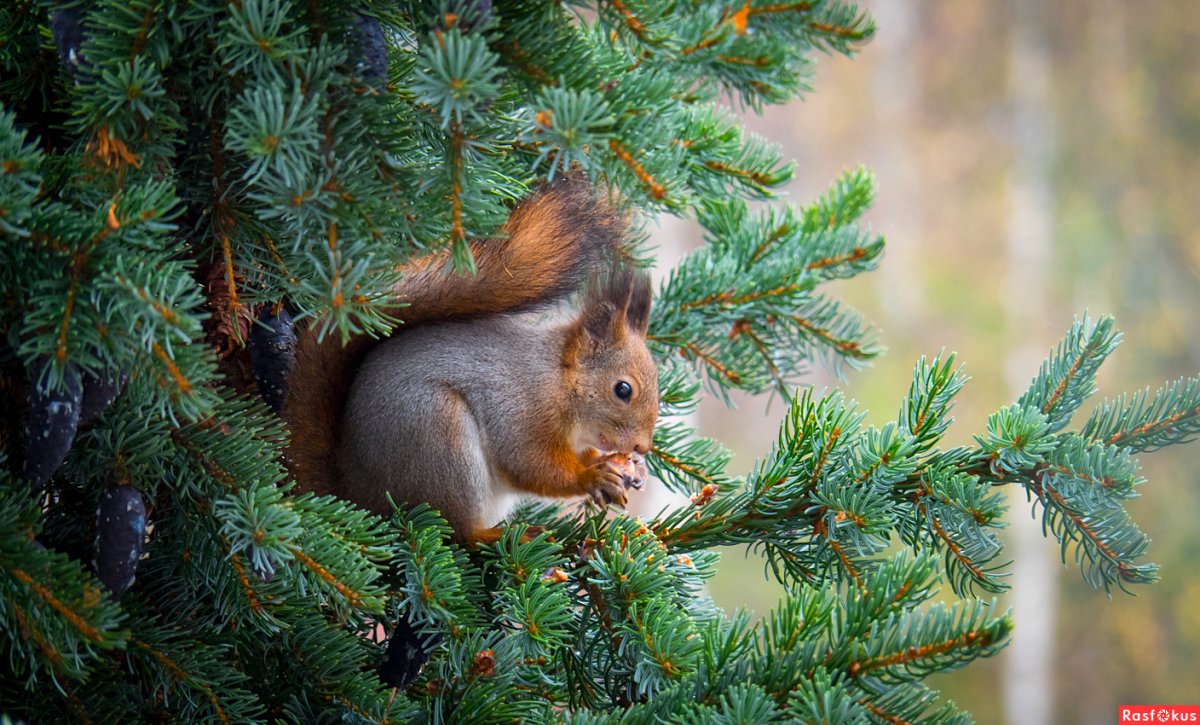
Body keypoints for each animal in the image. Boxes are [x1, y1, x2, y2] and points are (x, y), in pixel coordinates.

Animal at [281, 175, 659, 543]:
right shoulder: (523, 412)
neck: (560, 381)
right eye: (623, 390)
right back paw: (502, 536)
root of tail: (353, 490)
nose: (642, 446)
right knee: (456, 531)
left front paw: (619, 469)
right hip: (440, 440)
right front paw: (591, 477)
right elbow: (530, 465)